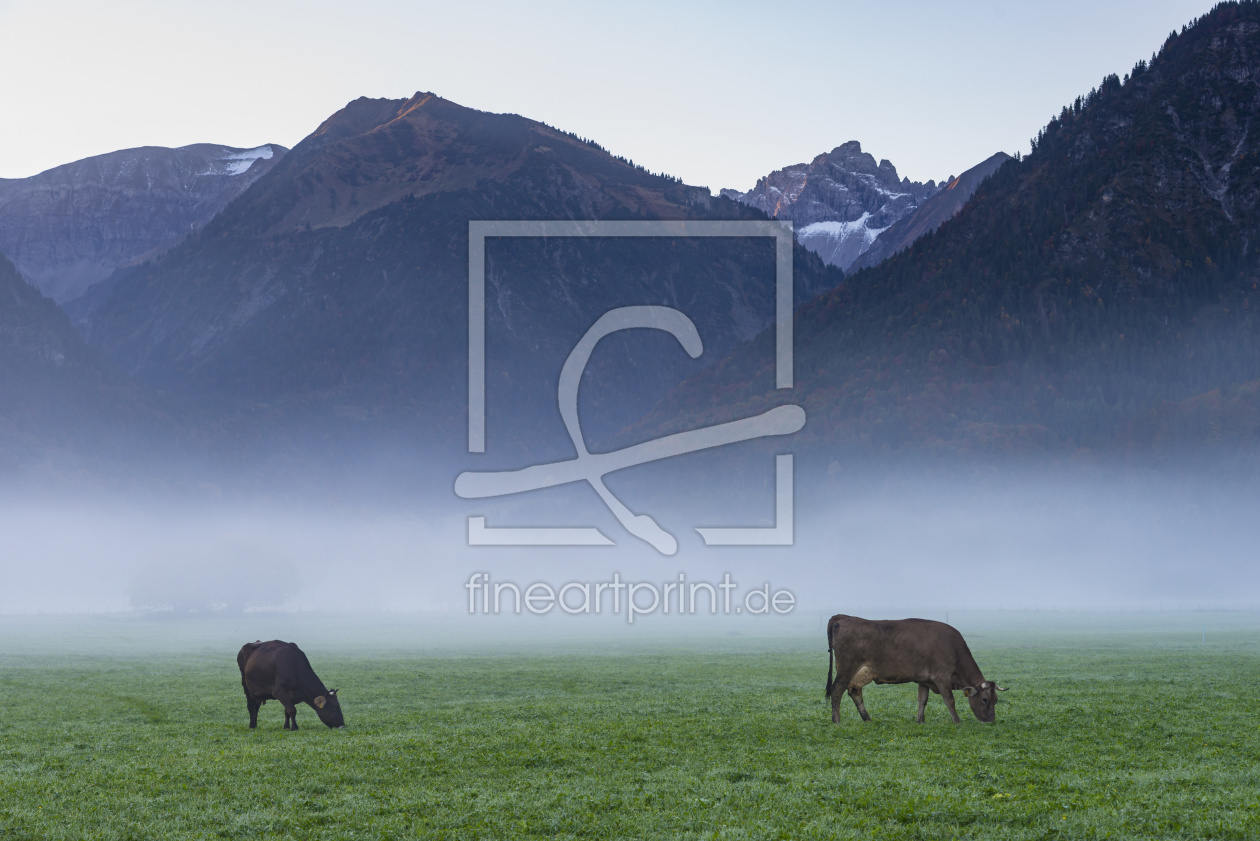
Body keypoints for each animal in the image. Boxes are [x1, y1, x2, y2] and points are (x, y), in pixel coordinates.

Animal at [821, 612, 1008, 726]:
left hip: (861, 672)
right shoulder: (941, 677)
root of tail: (843, 618)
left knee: (855, 692)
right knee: (837, 691)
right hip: (846, 669)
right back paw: (836, 721)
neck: (954, 648)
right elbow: (950, 700)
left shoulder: (924, 680)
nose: (991, 720)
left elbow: (922, 700)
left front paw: (920, 720)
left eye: (996, 700)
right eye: (985, 700)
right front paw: (957, 721)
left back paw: (867, 718)